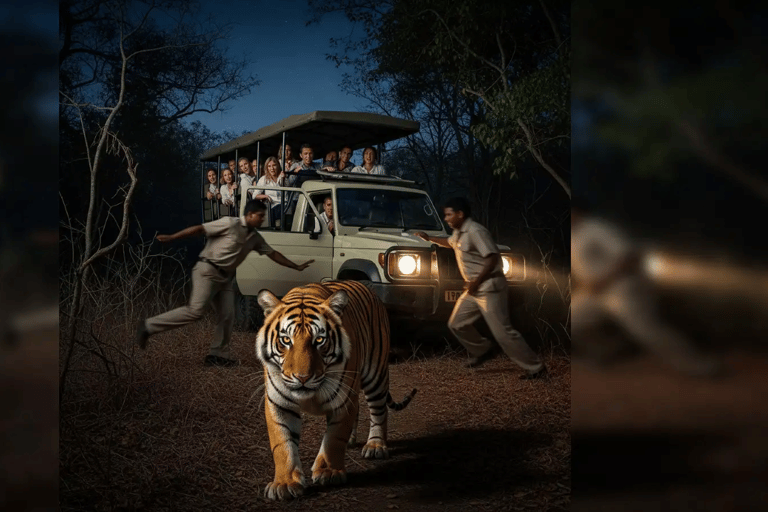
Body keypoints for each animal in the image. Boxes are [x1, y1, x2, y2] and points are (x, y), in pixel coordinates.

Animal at [255, 280, 417, 501]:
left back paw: (375, 445)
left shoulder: (343, 398)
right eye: (286, 340)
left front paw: (328, 472)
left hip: (375, 375)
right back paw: (352, 441)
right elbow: (282, 442)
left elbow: (334, 437)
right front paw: (285, 483)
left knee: (379, 410)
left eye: (319, 340)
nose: (302, 377)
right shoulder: (278, 402)